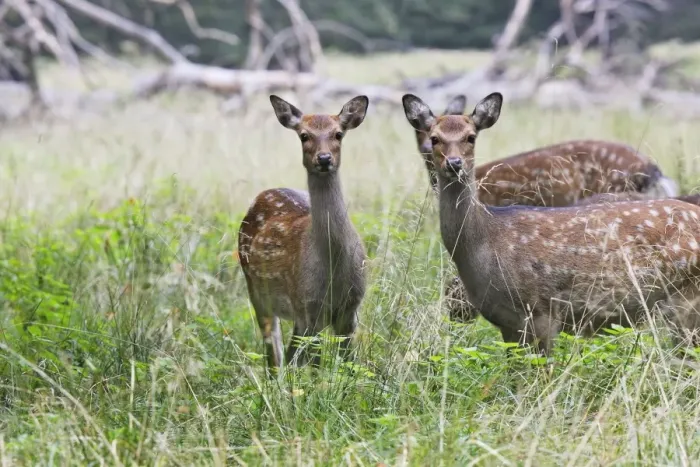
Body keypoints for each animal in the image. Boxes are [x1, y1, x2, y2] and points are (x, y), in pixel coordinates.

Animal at [238, 95, 369, 372]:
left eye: (338, 133)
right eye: (304, 136)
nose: (324, 158)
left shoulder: (350, 309)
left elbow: (349, 364)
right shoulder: (308, 306)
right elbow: (316, 368)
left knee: (289, 355)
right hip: (256, 291)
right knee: (274, 355)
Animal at [403, 91, 700, 354]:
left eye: (471, 137)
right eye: (434, 137)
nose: (454, 163)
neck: (487, 242)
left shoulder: (543, 312)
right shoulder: (507, 324)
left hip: (687, 300)